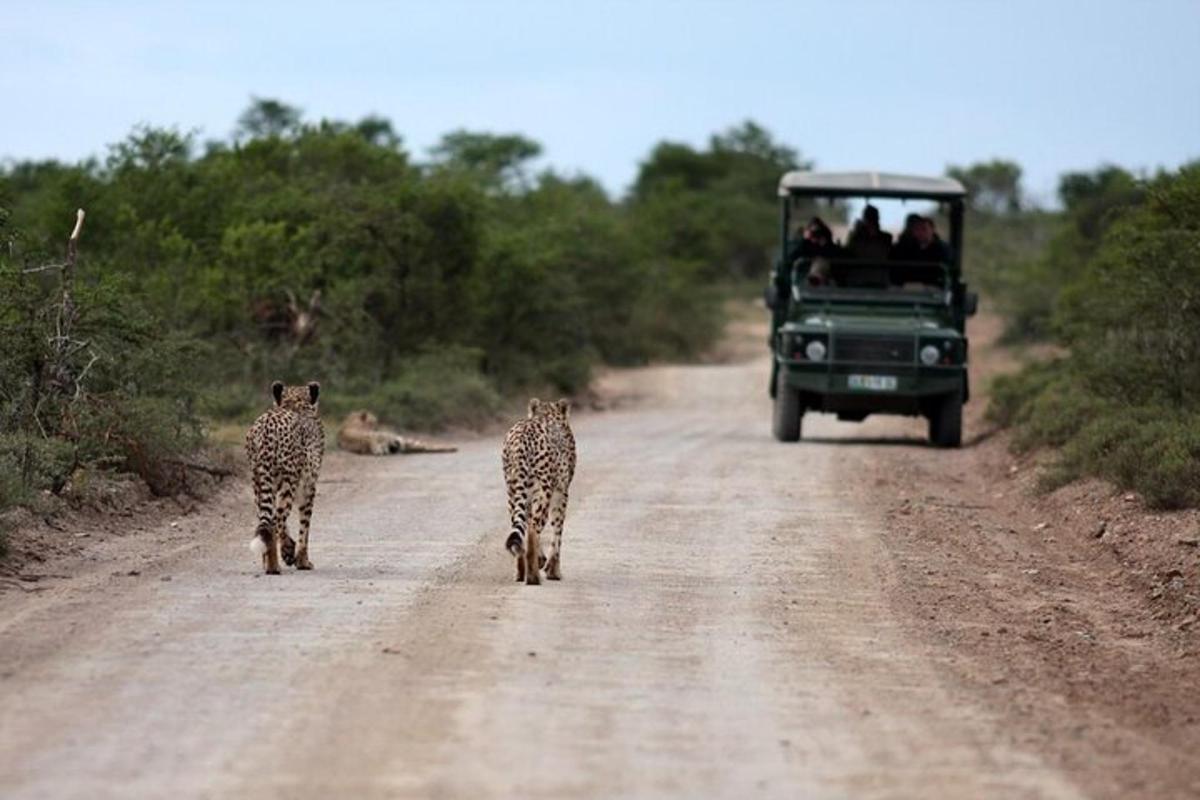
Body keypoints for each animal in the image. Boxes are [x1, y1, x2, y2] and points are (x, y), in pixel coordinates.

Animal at [244, 383, 324, 575]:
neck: (294, 403)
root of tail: (266, 424)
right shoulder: (308, 487)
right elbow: (305, 528)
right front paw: (302, 561)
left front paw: (289, 552)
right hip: (289, 482)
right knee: (276, 520)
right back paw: (274, 565)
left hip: (259, 483)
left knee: (267, 521)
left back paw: (269, 563)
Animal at [496, 398, 571, 585]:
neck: (547, 414)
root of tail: (524, 433)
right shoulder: (561, 493)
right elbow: (557, 532)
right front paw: (554, 570)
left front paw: (543, 562)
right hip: (543, 491)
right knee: (532, 528)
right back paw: (533, 576)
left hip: (513, 490)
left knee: (519, 527)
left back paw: (520, 572)